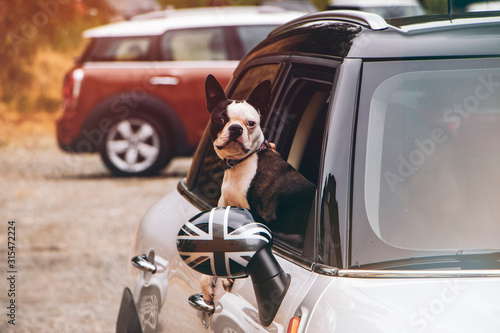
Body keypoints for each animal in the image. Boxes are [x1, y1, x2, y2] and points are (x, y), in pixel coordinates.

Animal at [200, 74, 314, 304]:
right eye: (221, 120)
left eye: (251, 123)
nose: (236, 128)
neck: (241, 163)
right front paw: (207, 281)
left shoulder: (262, 215)